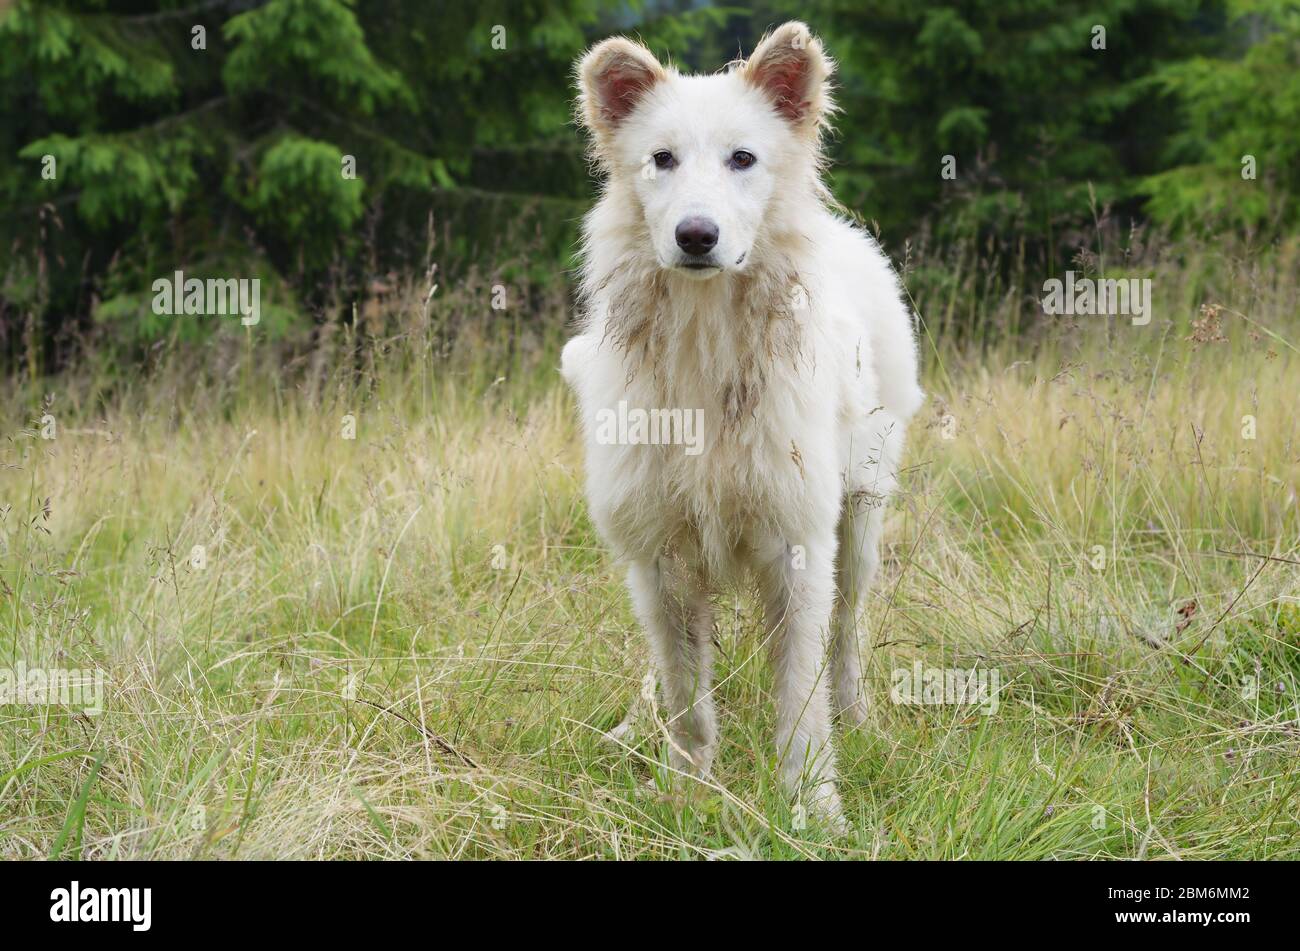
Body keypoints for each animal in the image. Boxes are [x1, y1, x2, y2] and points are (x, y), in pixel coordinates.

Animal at [561, 20, 925, 826]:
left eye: (743, 159)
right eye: (661, 160)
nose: (696, 235)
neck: (706, 344)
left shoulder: (799, 544)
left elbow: (801, 699)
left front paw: (813, 805)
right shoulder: (658, 558)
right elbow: (686, 698)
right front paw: (686, 789)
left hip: (860, 524)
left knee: (846, 637)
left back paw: (859, 719)